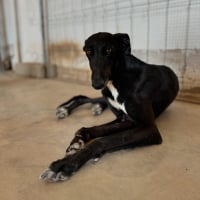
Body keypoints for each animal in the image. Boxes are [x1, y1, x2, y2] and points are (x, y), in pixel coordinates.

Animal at [39, 32, 179, 182]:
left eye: (109, 50)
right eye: (89, 51)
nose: (97, 83)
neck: (118, 79)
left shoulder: (147, 128)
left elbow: (104, 140)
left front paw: (66, 165)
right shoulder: (124, 119)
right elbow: (92, 129)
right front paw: (77, 142)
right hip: (103, 94)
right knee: (84, 98)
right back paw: (68, 109)